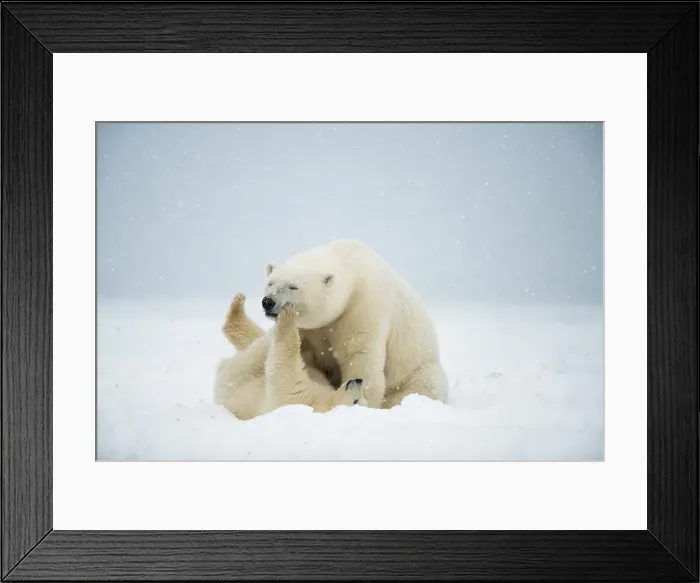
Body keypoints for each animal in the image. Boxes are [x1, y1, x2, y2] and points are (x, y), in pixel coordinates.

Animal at [213, 293, 364, 421]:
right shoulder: (319, 382)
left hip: (235, 374)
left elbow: (285, 371)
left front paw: (288, 313)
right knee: (257, 340)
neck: (324, 399)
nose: (358, 380)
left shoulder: (298, 399)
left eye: (356, 402)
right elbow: (307, 363)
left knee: (254, 355)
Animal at [262, 239, 449, 409]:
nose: (268, 302)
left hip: (416, 370)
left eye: (293, 286)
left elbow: (359, 356)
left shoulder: (362, 307)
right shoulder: (309, 329)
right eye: (270, 282)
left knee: (427, 383)